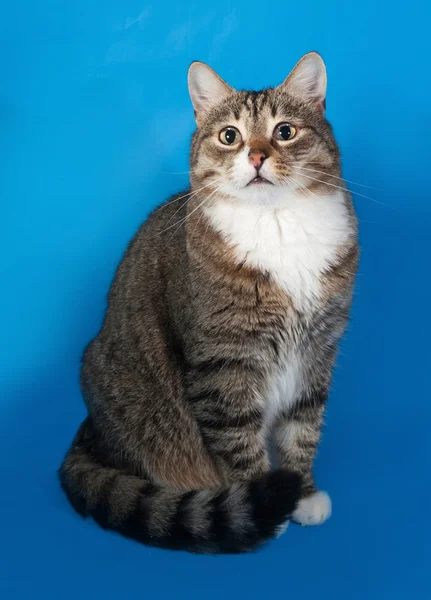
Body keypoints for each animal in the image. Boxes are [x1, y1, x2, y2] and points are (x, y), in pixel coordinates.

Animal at [59, 51, 360, 552]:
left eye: (284, 131)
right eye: (229, 136)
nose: (256, 155)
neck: (277, 222)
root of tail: (91, 435)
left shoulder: (318, 351)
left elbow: (303, 428)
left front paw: (302, 492)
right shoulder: (222, 365)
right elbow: (239, 441)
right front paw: (266, 503)